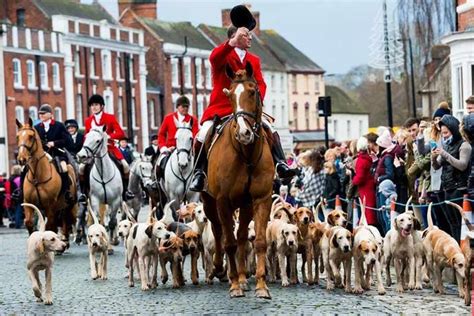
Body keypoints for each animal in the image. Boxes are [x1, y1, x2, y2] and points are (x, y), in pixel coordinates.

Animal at [15, 118, 77, 247]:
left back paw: (65, 240)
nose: (21, 159)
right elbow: (29, 222)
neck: (37, 177)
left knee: (65, 220)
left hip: (69, 205)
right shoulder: (28, 203)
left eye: (31, 136)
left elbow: (50, 226)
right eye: (18, 136)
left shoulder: (50, 206)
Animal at [202, 63, 276, 298]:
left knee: (242, 235)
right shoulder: (223, 201)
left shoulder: (261, 199)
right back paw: (221, 270)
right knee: (218, 230)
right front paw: (234, 285)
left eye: (252, 92)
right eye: (230, 96)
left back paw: (243, 278)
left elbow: (259, 241)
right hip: (209, 202)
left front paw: (261, 286)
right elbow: (229, 243)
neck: (247, 153)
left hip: (245, 205)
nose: (244, 133)